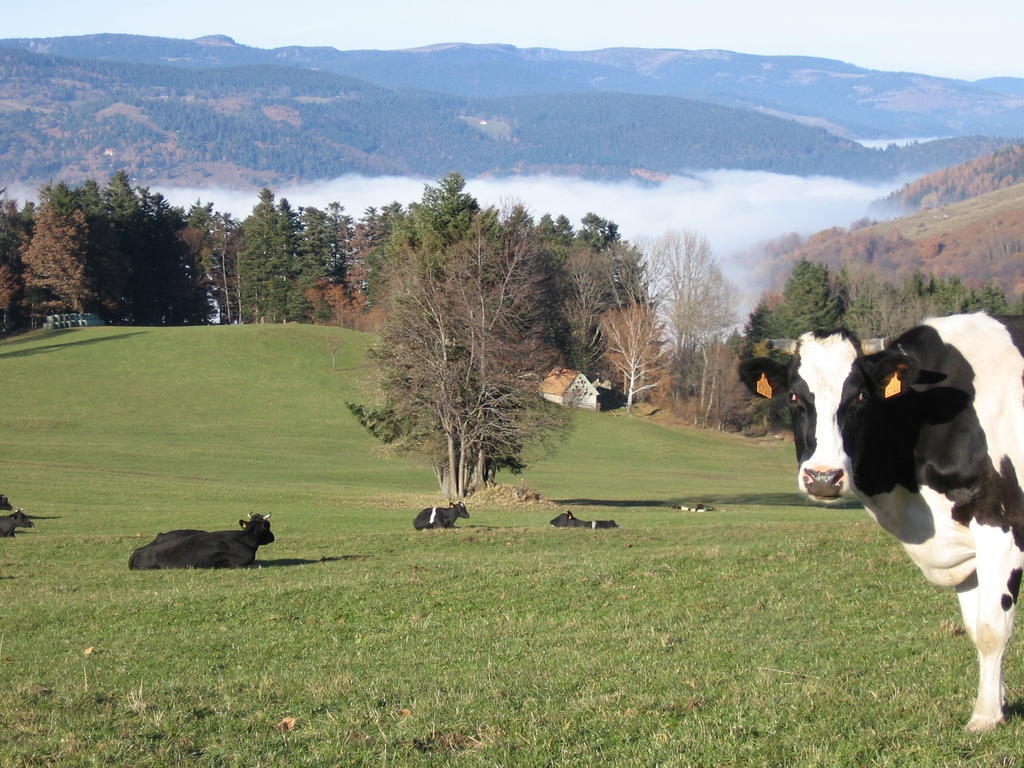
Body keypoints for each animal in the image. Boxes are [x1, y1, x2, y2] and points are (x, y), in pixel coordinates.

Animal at [737, 313, 1024, 733]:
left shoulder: (1001, 523)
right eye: (794, 397)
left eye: (859, 397)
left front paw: (985, 716)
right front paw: (998, 704)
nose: (823, 477)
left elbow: (992, 628)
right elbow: (974, 626)